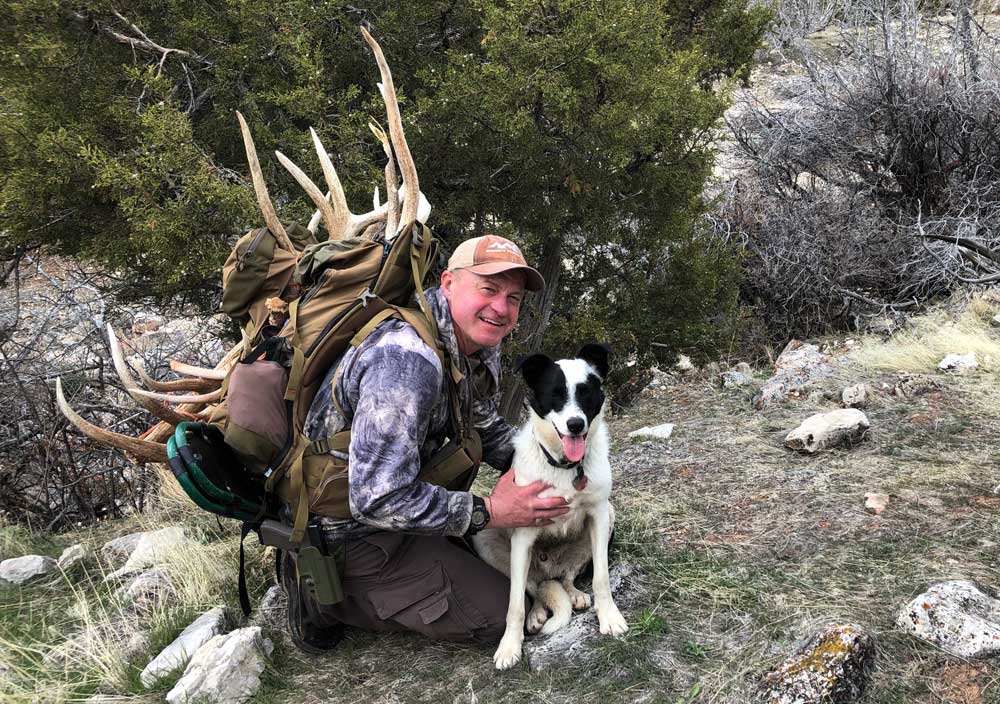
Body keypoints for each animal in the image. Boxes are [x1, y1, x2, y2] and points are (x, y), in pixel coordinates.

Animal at [474, 344, 628, 668]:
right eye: (554, 394)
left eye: (585, 392)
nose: (576, 425)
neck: (564, 466)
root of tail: (548, 569)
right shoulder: (522, 534)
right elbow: (515, 603)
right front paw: (509, 646)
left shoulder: (598, 513)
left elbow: (602, 578)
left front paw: (609, 617)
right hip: (485, 539)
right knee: (532, 588)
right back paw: (536, 614)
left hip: (607, 517)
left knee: (565, 577)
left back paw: (574, 594)